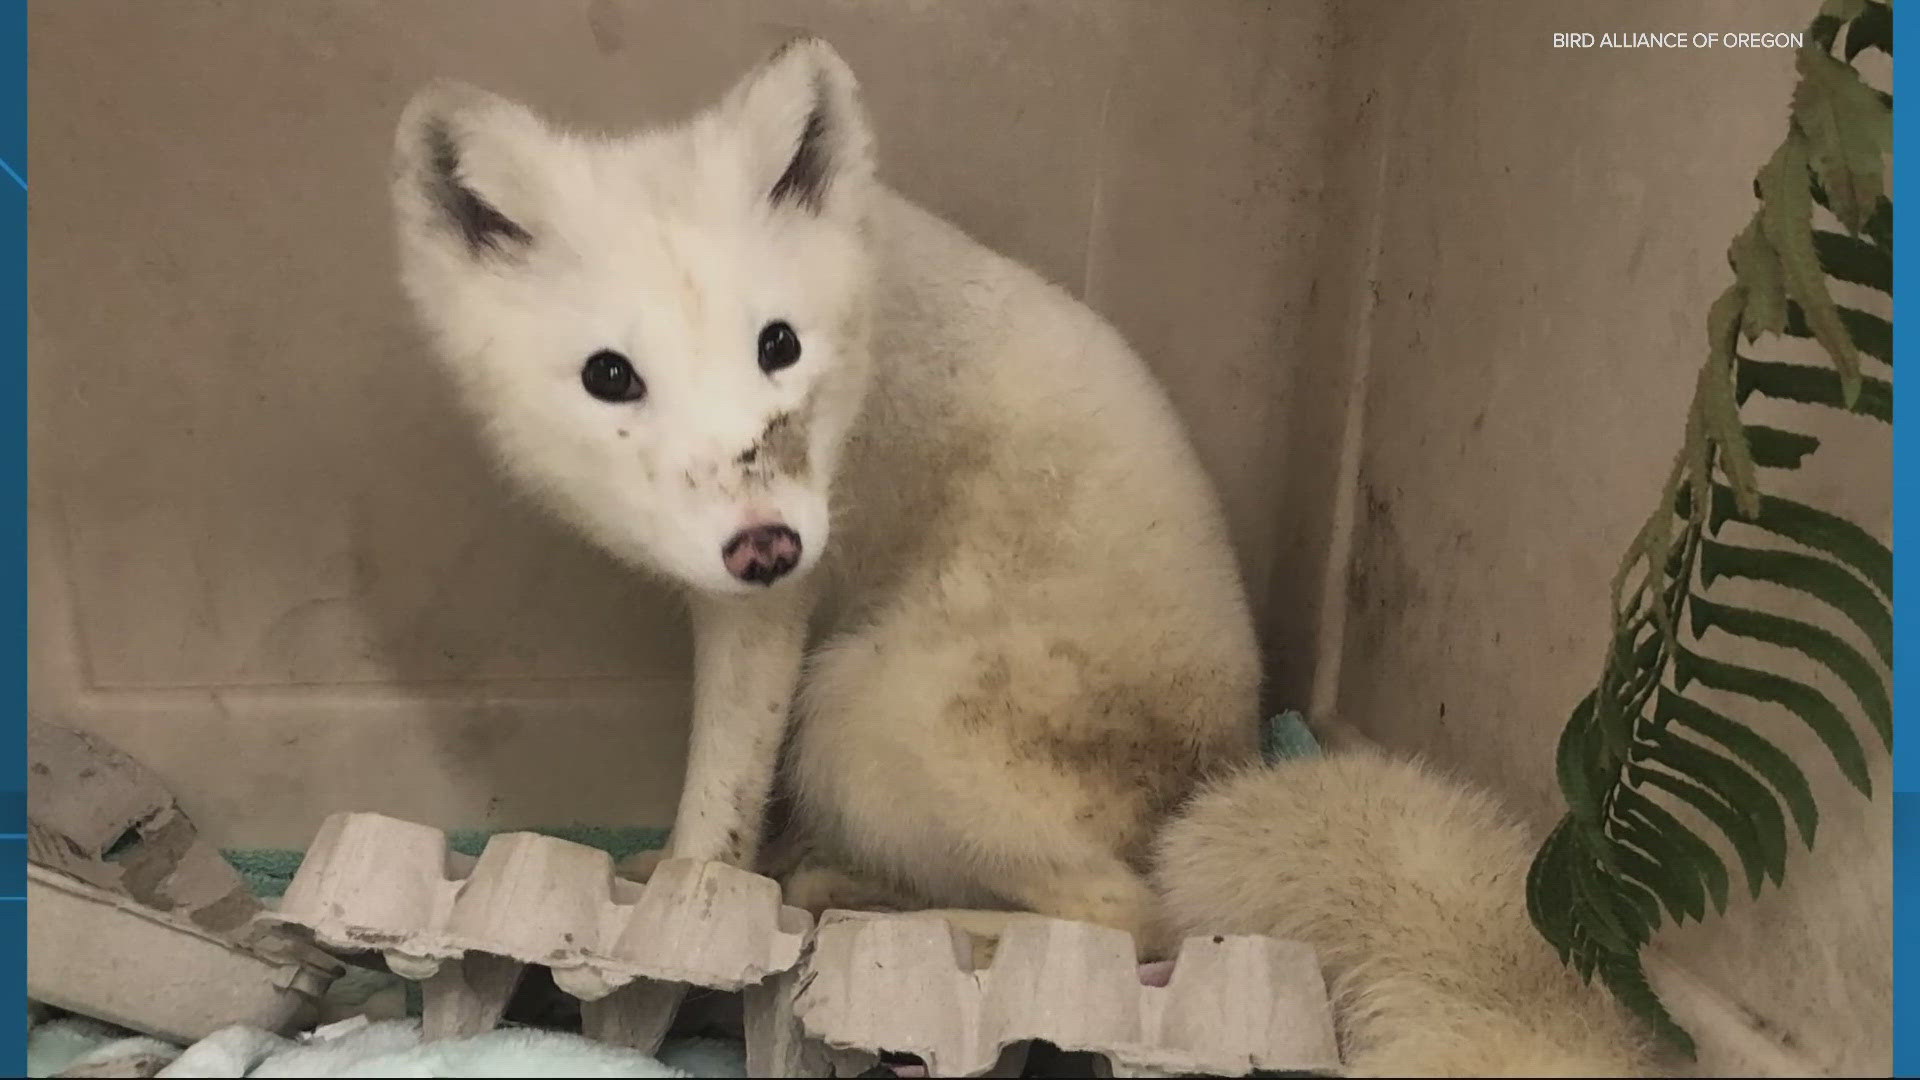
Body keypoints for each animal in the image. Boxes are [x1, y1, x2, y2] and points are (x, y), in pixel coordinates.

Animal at [389, 37, 1259, 953]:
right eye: (610, 376)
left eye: (780, 344)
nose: (767, 546)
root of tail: (1220, 763)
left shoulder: (766, 615)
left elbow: (717, 803)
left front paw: (679, 903)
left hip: (856, 715)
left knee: (1132, 918)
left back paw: (865, 907)